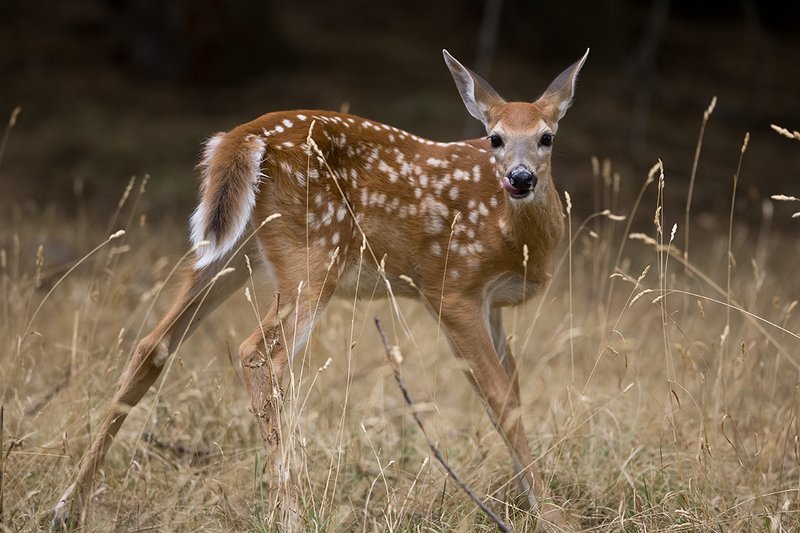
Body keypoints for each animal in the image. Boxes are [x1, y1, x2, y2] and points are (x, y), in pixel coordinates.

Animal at [53, 49, 588, 530]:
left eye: (547, 137)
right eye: (495, 138)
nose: (520, 178)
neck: (514, 239)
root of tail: (240, 138)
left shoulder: (490, 304)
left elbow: (513, 392)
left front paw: (529, 499)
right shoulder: (451, 286)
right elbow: (499, 398)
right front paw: (550, 514)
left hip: (231, 252)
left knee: (152, 344)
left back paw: (67, 506)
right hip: (313, 253)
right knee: (257, 353)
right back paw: (289, 513)